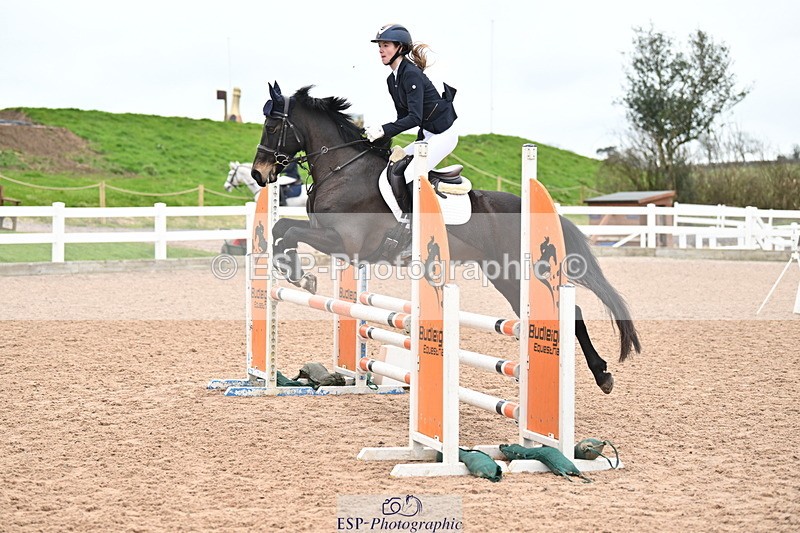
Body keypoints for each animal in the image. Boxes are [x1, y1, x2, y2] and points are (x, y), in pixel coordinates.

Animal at [250, 82, 640, 394]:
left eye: (271, 126)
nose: (258, 174)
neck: (343, 169)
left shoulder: (343, 242)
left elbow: (289, 230)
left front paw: (301, 276)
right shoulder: (334, 241)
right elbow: (280, 230)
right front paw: (295, 272)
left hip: (519, 272)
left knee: (570, 312)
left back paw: (602, 375)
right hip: (504, 275)